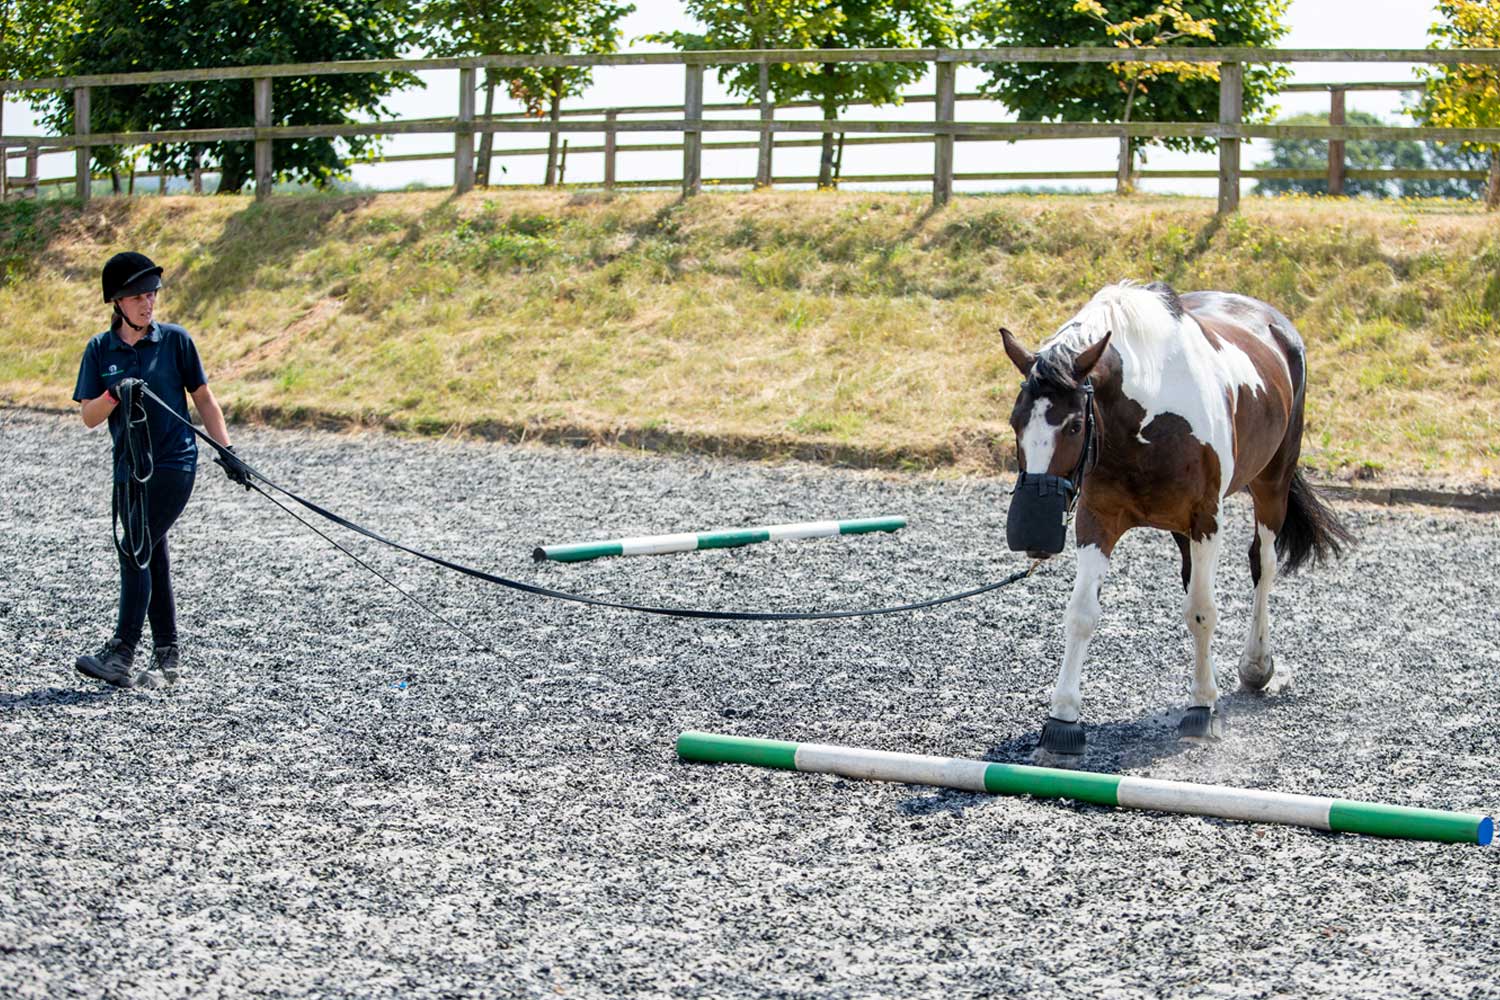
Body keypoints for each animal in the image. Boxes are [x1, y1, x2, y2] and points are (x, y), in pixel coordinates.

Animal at [1002, 280, 1356, 758]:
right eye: (1015, 421)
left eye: (1074, 426)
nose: (1032, 535)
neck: (1146, 415)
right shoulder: (1097, 520)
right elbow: (1082, 613)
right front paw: (1063, 718)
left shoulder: (1206, 518)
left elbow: (1203, 612)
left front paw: (1202, 710)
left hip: (1271, 485)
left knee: (1262, 566)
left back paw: (1256, 664)